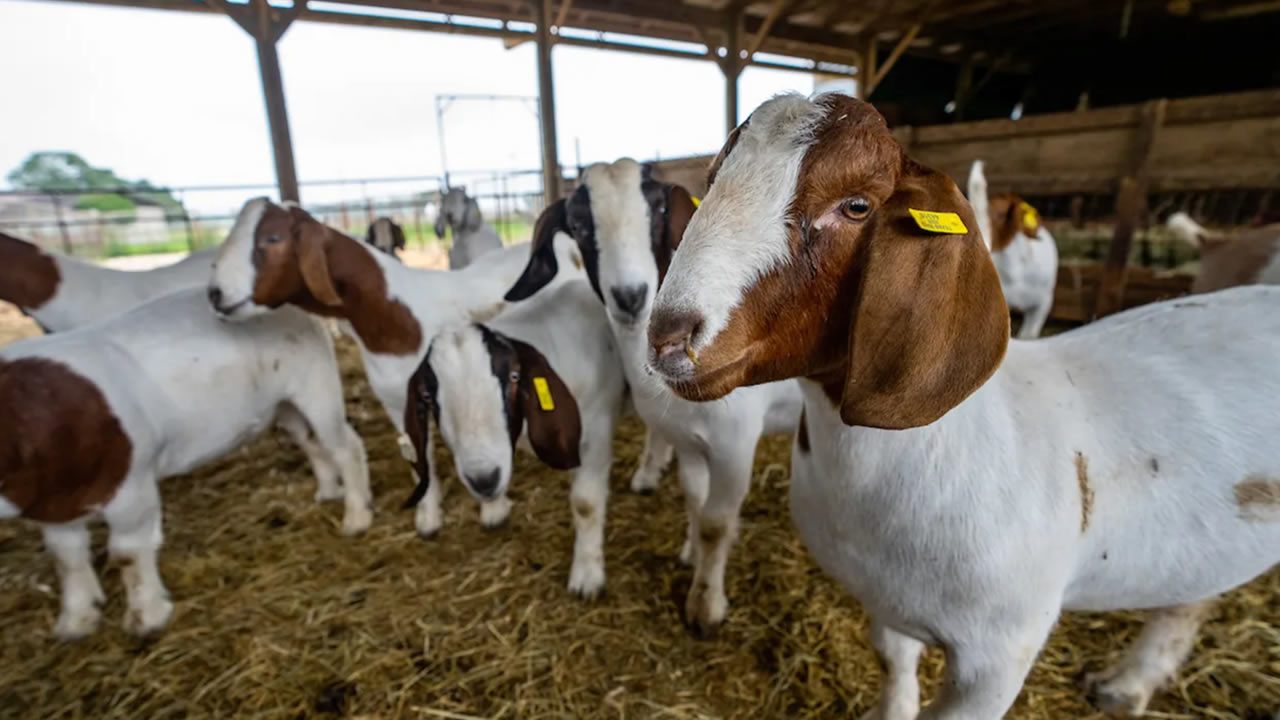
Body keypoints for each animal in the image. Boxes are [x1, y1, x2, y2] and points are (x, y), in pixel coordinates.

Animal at [0, 287, 370, 640]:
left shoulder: (132, 486)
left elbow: (127, 553)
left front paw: (147, 619)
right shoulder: (53, 507)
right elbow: (67, 557)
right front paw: (76, 622)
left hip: (315, 386)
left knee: (345, 446)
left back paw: (356, 517)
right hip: (284, 405)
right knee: (309, 441)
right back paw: (328, 492)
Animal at [207, 198, 671, 541]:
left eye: (271, 237)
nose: (214, 294)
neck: (394, 316)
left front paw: (492, 507)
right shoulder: (401, 399)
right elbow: (420, 455)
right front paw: (429, 518)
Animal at [403, 277, 627, 596]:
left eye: (513, 377)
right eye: (427, 397)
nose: (484, 480)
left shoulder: (596, 433)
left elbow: (585, 504)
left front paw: (586, 577)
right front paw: (494, 509)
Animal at [505, 158, 801, 633]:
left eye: (659, 209)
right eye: (578, 224)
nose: (631, 296)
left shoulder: (735, 444)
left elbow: (717, 523)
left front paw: (705, 606)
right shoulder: (687, 440)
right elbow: (696, 501)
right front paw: (692, 556)